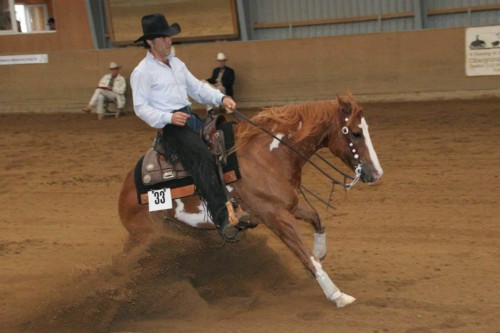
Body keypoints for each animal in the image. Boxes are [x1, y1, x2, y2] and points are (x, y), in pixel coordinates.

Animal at [118, 92, 382, 306]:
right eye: (356, 133)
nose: (377, 174)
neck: (268, 155)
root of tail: (125, 190)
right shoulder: (275, 216)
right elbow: (304, 254)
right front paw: (336, 294)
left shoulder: (288, 205)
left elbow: (317, 220)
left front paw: (320, 251)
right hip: (150, 234)